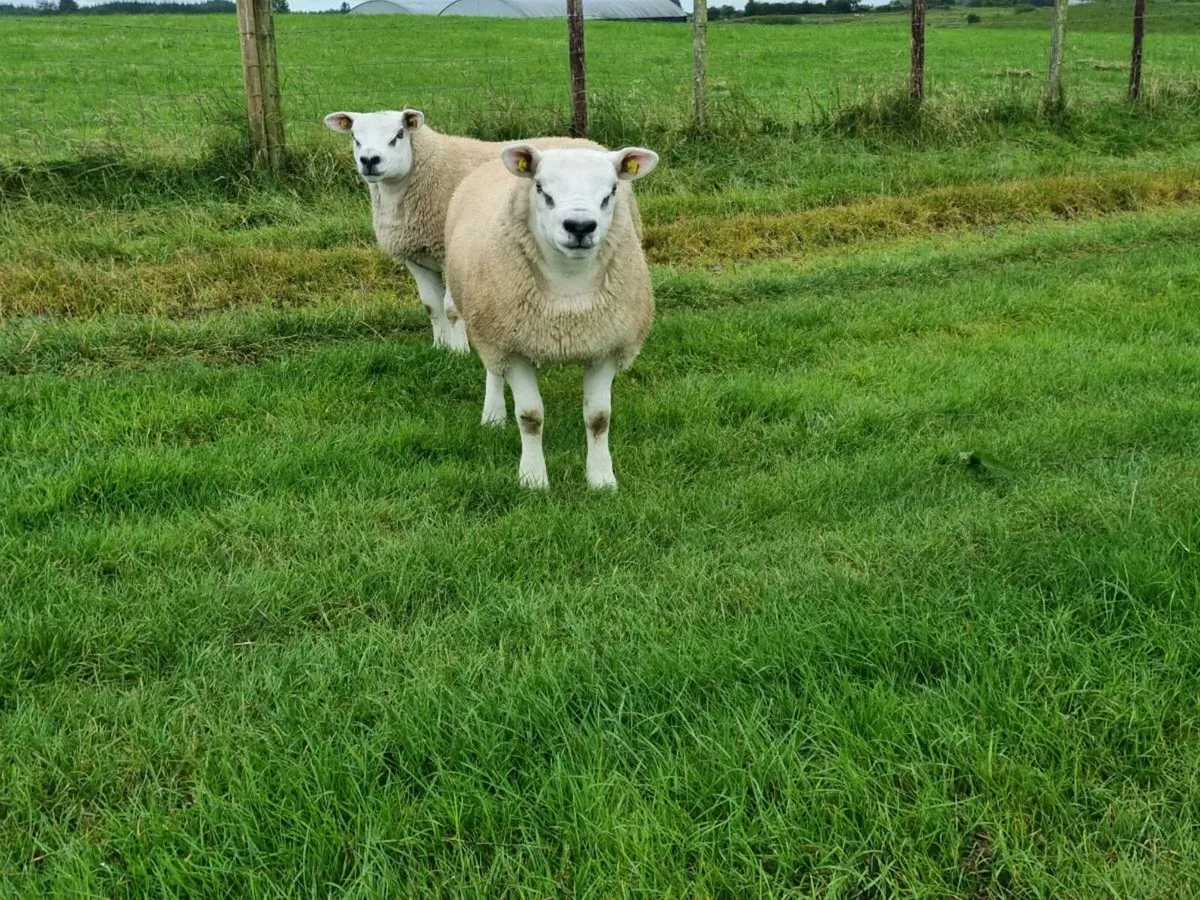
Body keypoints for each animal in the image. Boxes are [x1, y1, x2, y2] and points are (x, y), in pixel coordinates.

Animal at [323, 108, 595, 354]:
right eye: (355, 137)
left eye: (399, 135)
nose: (370, 160)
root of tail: (591, 143)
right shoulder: (415, 256)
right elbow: (431, 306)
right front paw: (440, 347)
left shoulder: (450, 252)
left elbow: (451, 309)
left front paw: (459, 352)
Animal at [444, 143, 659, 490]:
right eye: (541, 188)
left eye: (612, 190)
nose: (580, 226)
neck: (568, 290)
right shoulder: (513, 347)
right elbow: (530, 417)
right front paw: (533, 479)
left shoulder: (606, 346)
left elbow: (599, 419)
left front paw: (601, 479)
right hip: (488, 324)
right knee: (493, 368)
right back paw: (493, 414)